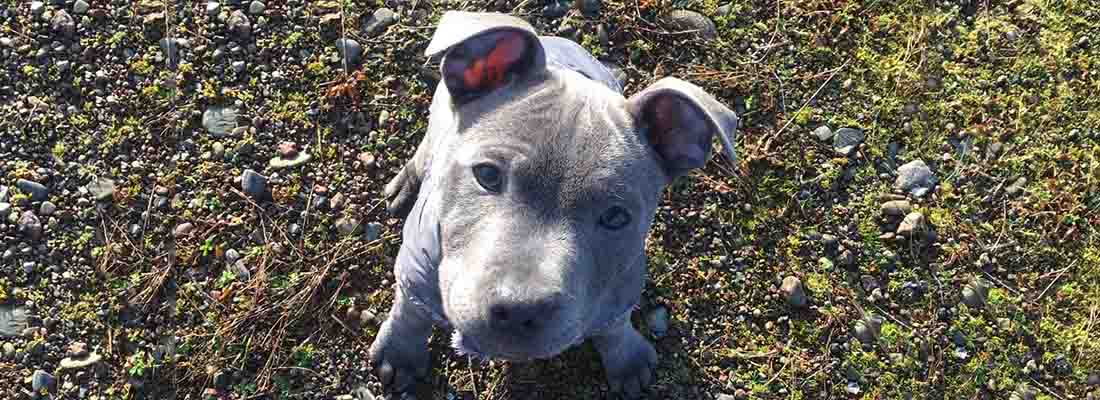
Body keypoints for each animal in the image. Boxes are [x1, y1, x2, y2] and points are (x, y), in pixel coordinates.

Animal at [369, 10, 739, 397]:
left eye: (616, 217)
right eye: (486, 175)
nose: (520, 310)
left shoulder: (620, 290)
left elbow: (615, 326)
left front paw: (627, 358)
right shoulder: (415, 271)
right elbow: (410, 312)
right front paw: (399, 352)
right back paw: (406, 183)